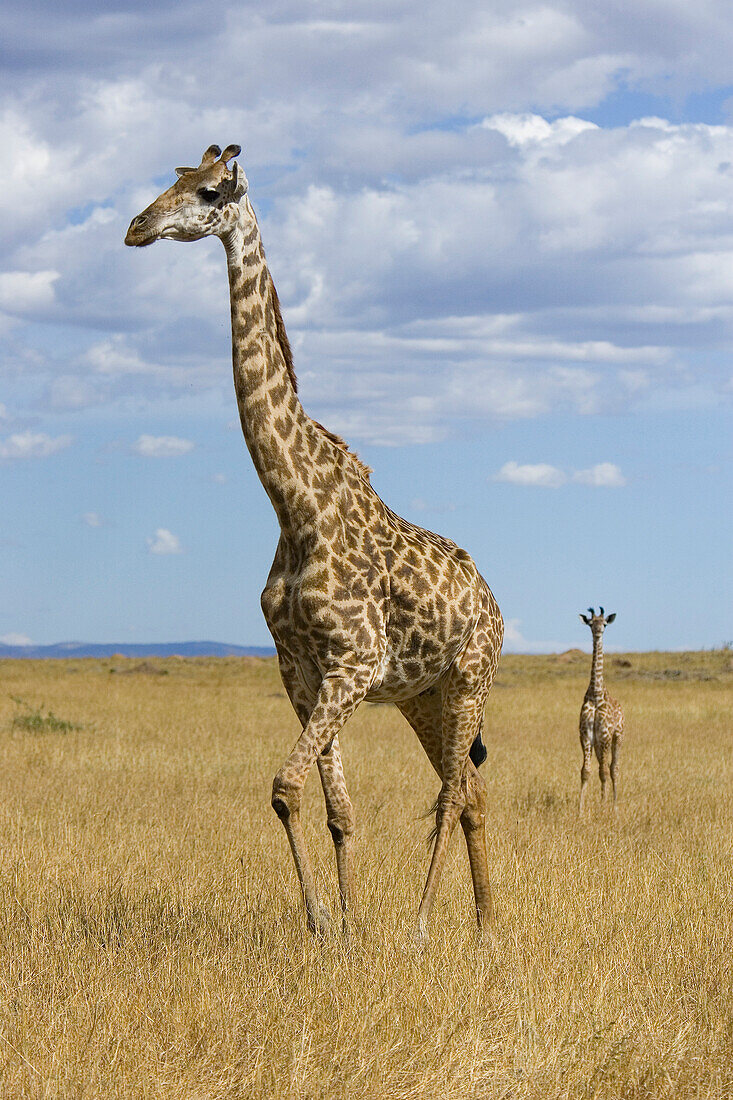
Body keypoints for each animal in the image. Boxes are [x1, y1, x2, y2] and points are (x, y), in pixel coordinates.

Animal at [125, 141, 501, 941]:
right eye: (172, 179)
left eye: (209, 191)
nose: (137, 227)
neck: (295, 506)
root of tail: (493, 603)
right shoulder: (300, 670)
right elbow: (327, 807)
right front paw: (341, 926)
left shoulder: (351, 666)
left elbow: (286, 785)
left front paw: (335, 922)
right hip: (421, 695)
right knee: (472, 793)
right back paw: (487, 926)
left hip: (468, 680)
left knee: (452, 795)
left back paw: (426, 922)